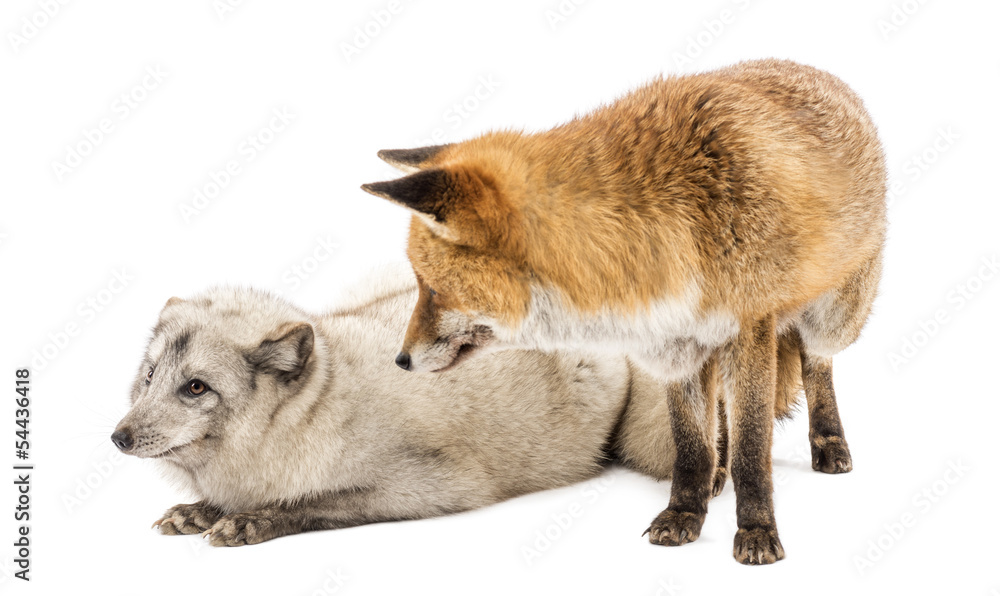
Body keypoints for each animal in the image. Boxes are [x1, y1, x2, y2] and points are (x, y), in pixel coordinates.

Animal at [111, 266, 703, 546]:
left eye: (196, 388)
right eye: (150, 376)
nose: (118, 438)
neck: (317, 410)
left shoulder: (437, 486)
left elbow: (315, 503)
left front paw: (248, 521)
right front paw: (201, 510)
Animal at [361, 58, 886, 564]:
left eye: (431, 288)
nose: (400, 361)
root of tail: (815, 71)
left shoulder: (748, 330)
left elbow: (753, 449)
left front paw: (756, 530)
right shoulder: (674, 345)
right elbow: (690, 445)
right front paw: (685, 512)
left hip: (833, 317)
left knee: (817, 364)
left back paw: (829, 441)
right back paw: (718, 469)